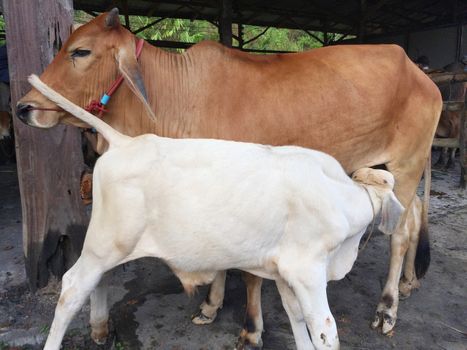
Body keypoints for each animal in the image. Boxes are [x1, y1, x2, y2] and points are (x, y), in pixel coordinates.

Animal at [17, 9, 442, 348]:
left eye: (80, 51)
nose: (23, 107)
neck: (179, 96)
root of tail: (418, 71)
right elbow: (222, 259)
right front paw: (211, 305)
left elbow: (248, 272)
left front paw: (251, 328)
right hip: (389, 168)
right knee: (414, 218)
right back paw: (409, 282)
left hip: (407, 164)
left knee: (399, 235)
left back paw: (388, 308)